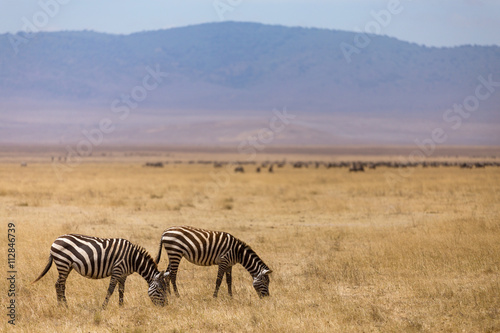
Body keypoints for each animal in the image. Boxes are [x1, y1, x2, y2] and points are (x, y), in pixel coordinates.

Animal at [33, 233, 170, 306]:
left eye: (165, 290)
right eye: (160, 290)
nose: (165, 306)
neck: (133, 259)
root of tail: (56, 240)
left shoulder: (123, 274)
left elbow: (121, 290)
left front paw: (121, 307)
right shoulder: (117, 270)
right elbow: (110, 290)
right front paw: (103, 307)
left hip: (67, 266)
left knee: (59, 284)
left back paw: (61, 305)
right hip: (63, 263)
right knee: (60, 285)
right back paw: (64, 306)